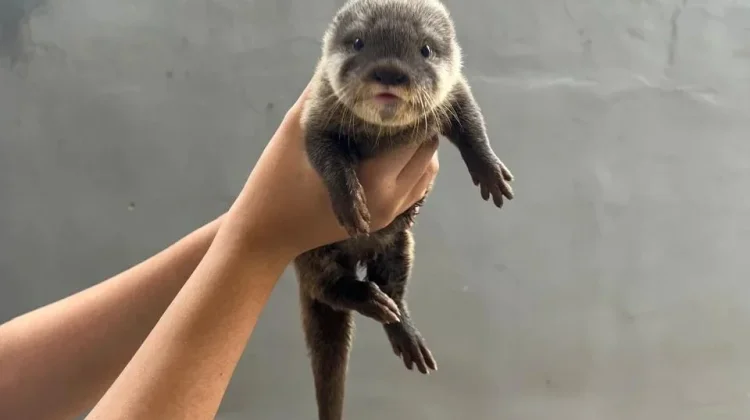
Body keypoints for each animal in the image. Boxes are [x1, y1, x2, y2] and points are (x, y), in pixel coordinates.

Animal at [293, 1, 514, 419]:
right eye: (358, 42)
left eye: (425, 49)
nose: (390, 72)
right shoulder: (316, 117)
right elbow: (327, 155)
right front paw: (351, 205)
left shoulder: (455, 91)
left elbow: (473, 124)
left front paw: (491, 172)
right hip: (312, 253)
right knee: (325, 287)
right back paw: (367, 298)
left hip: (400, 245)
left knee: (393, 288)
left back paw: (403, 329)